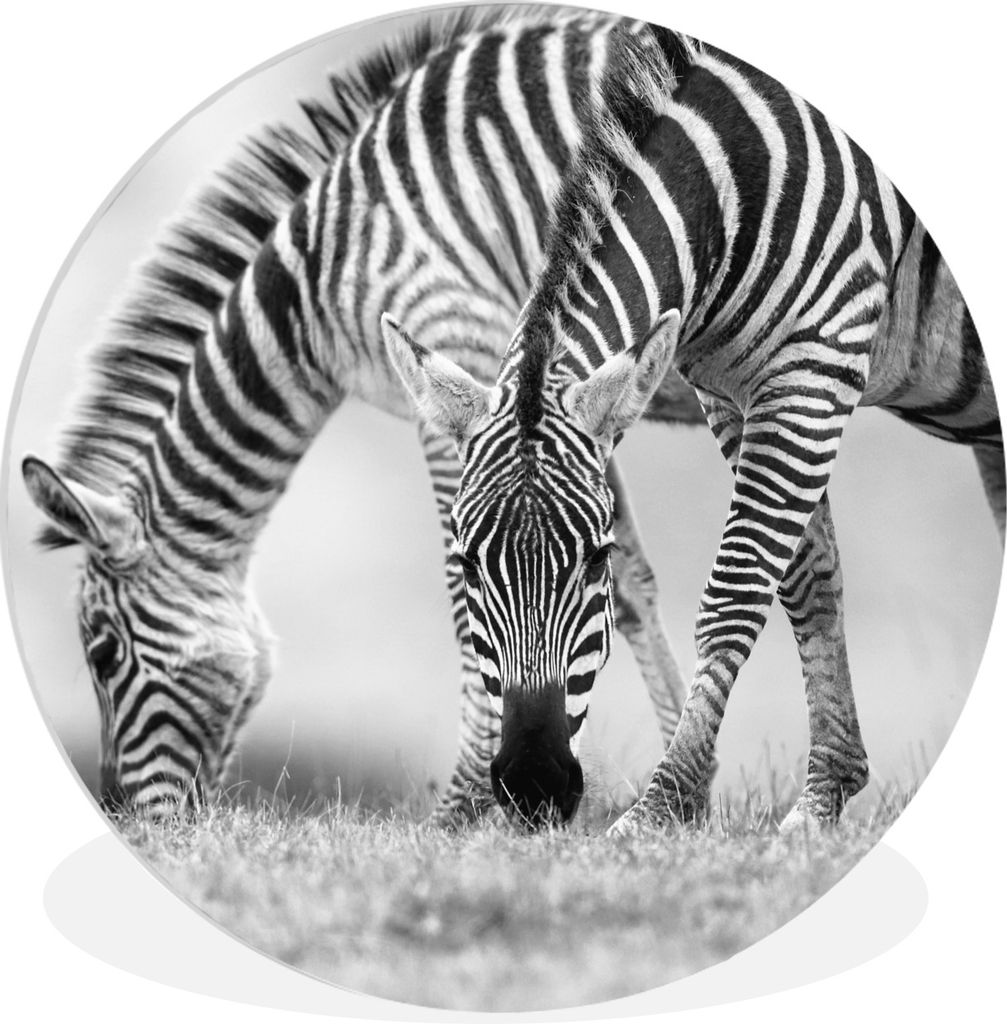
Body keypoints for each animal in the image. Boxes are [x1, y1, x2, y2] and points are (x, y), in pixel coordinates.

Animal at [20, 7, 705, 820]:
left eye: (101, 654)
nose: (121, 816)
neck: (314, 289)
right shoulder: (559, 404)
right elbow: (625, 580)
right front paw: (679, 795)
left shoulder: (465, 355)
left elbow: (468, 584)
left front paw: (460, 813)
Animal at [382, 22, 1003, 830]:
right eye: (466, 564)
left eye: (598, 558)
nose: (533, 784)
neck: (731, 190)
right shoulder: (733, 392)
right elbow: (807, 581)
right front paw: (824, 795)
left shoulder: (811, 367)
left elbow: (737, 591)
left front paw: (660, 807)